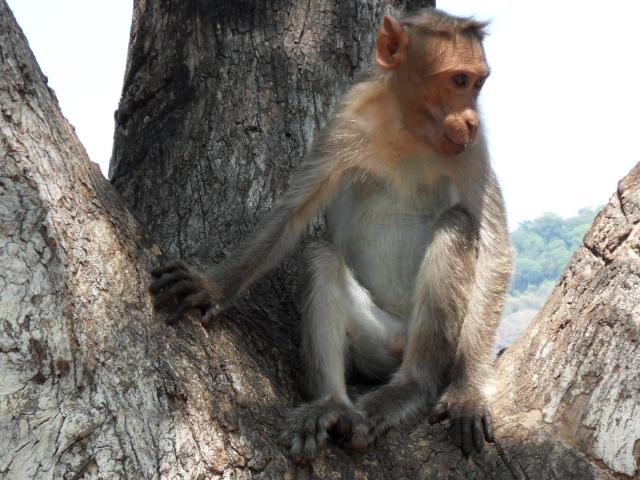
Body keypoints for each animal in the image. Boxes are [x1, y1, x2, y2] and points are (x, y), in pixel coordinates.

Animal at [149, 8, 510, 462]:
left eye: (478, 83)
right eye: (459, 80)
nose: (472, 118)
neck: (409, 128)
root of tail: (398, 344)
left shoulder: (472, 150)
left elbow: (495, 251)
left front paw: (467, 393)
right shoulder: (346, 120)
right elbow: (293, 213)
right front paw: (213, 285)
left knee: (456, 225)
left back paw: (412, 386)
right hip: (370, 340)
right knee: (319, 256)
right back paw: (330, 405)